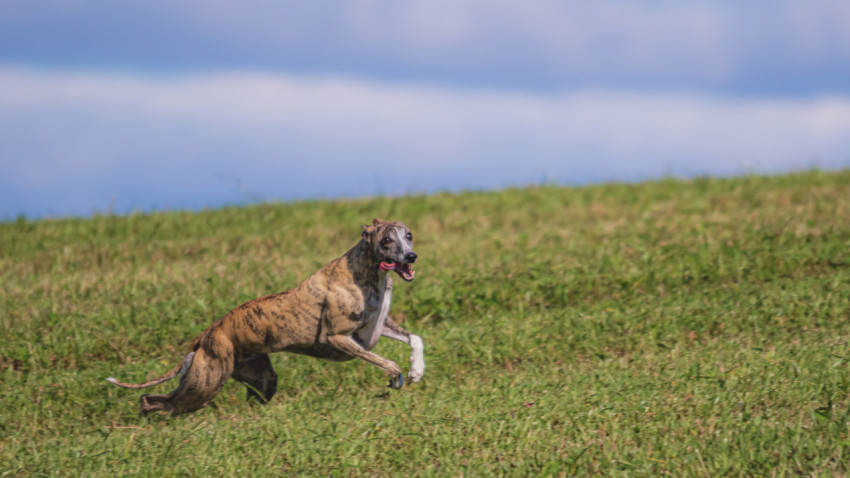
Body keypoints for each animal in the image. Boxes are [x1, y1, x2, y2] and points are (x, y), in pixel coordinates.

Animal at [106, 218, 424, 412]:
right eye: (386, 240)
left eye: (408, 235)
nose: (411, 257)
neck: (365, 270)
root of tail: (205, 335)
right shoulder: (337, 337)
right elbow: (385, 360)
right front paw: (397, 375)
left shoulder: (372, 327)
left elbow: (415, 338)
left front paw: (416, 370)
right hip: (202, 385)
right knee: (156, 400)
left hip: (258, 378)